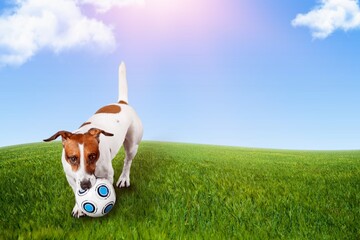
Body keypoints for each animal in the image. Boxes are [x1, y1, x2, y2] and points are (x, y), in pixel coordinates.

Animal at [43, 62, 142, 218]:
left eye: (92, 156)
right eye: (73, 158)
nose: (85, 185)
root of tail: (122, 103)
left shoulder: (108, 174)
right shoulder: (70, 177)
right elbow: (75, 191)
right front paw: (78, 208)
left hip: (132, 144)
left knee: (128, 161)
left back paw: (124, 178)